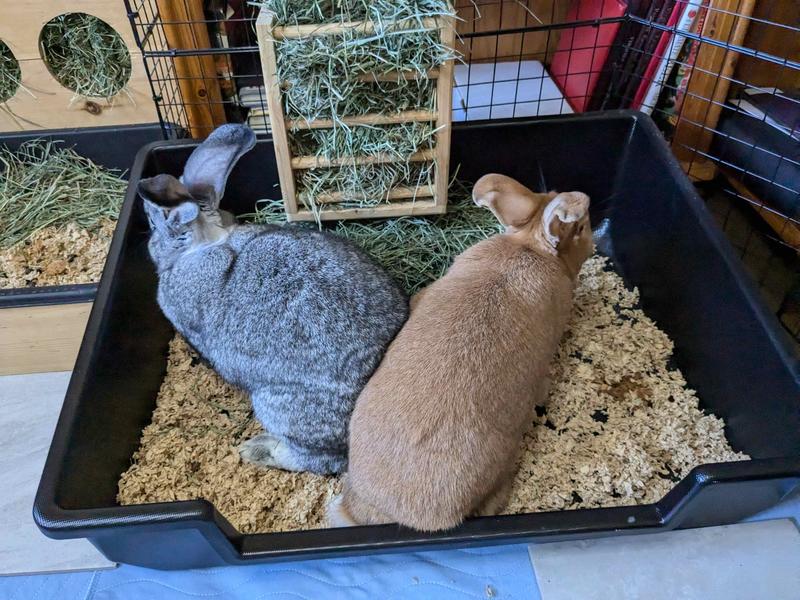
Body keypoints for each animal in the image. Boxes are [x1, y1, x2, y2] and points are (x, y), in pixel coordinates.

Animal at [138, 124, 409, 475]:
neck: (208, 243)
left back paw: (258, 449)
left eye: (154, 225)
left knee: (319, 459)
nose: (151, 248)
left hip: (276, 404)